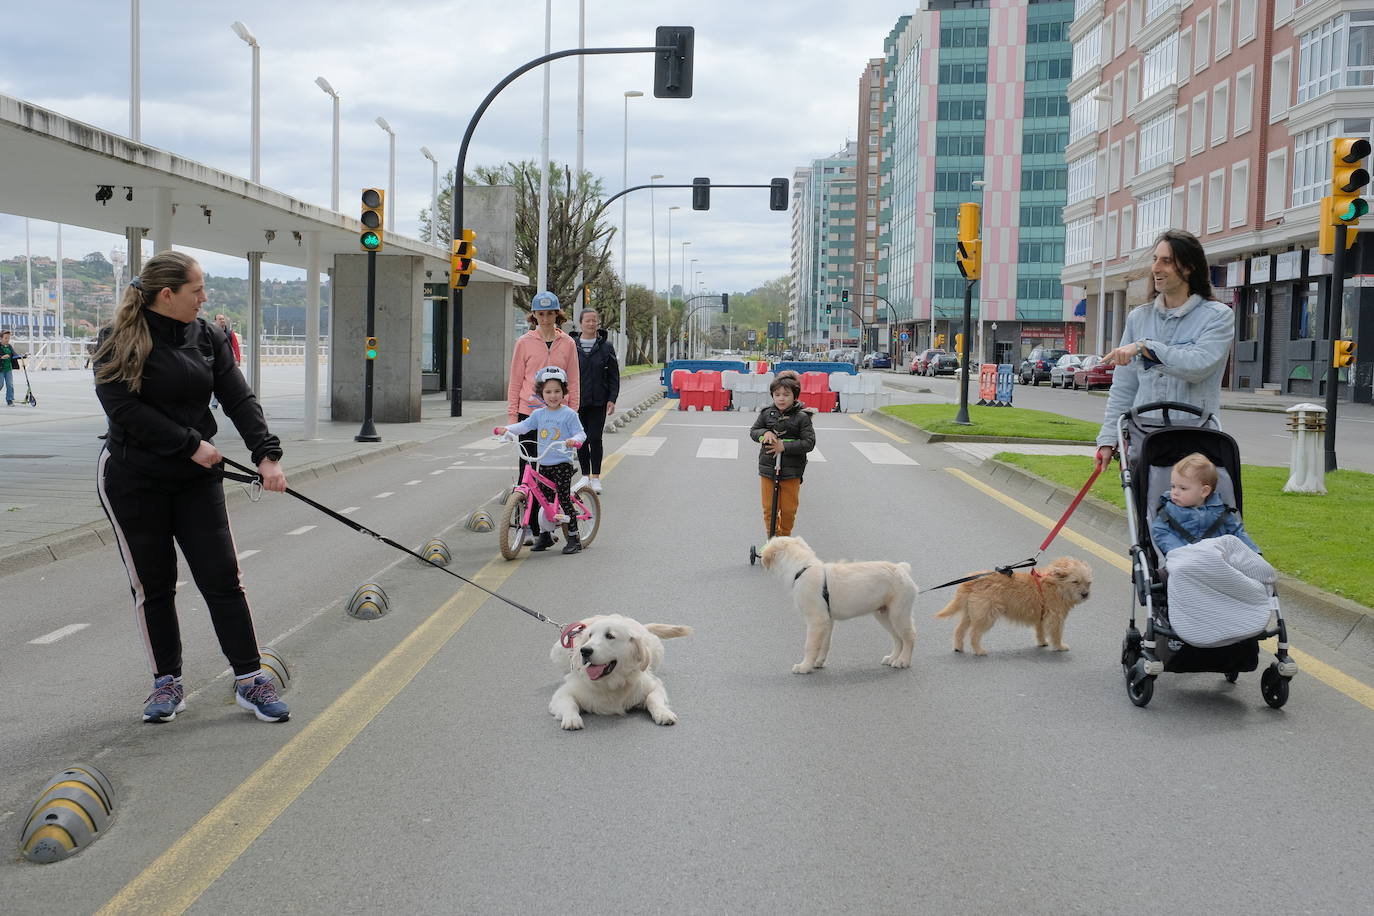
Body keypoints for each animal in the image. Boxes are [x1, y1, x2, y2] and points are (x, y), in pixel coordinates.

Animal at [549, 612, 692, 736]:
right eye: (590, 635)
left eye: (610, 635)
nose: (584, 651)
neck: (611, 683)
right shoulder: (564, 692)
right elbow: (569, 703)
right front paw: (572, 719)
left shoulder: (654, 685)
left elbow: (652, 698)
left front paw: (663, 713)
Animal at [758, 538, 917, 672]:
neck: (802, 568)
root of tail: (902, 569)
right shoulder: (827, 619)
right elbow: (824, 643)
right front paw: (818, 662)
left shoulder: (817, 620)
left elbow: (810, 645)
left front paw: (804, 666)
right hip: (883, 614)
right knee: (897, 638)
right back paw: (892, 658)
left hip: (898, 612)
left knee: (909, 636)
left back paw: (903, 661)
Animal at [934, 554, 1093, 656]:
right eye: (1075, 582)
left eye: (1088, 582)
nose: (1085, 594)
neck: (1055, 584)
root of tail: (972, 581)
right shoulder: (1055, 618)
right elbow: (1056, 634)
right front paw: (1059, 646)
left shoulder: (1041, 618)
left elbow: (1040, 631)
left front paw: (1042, 642)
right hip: (986, 616)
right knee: (974, 633)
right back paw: (979, 650)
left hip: (970, 613)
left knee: (959, 630)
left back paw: (958, 648)